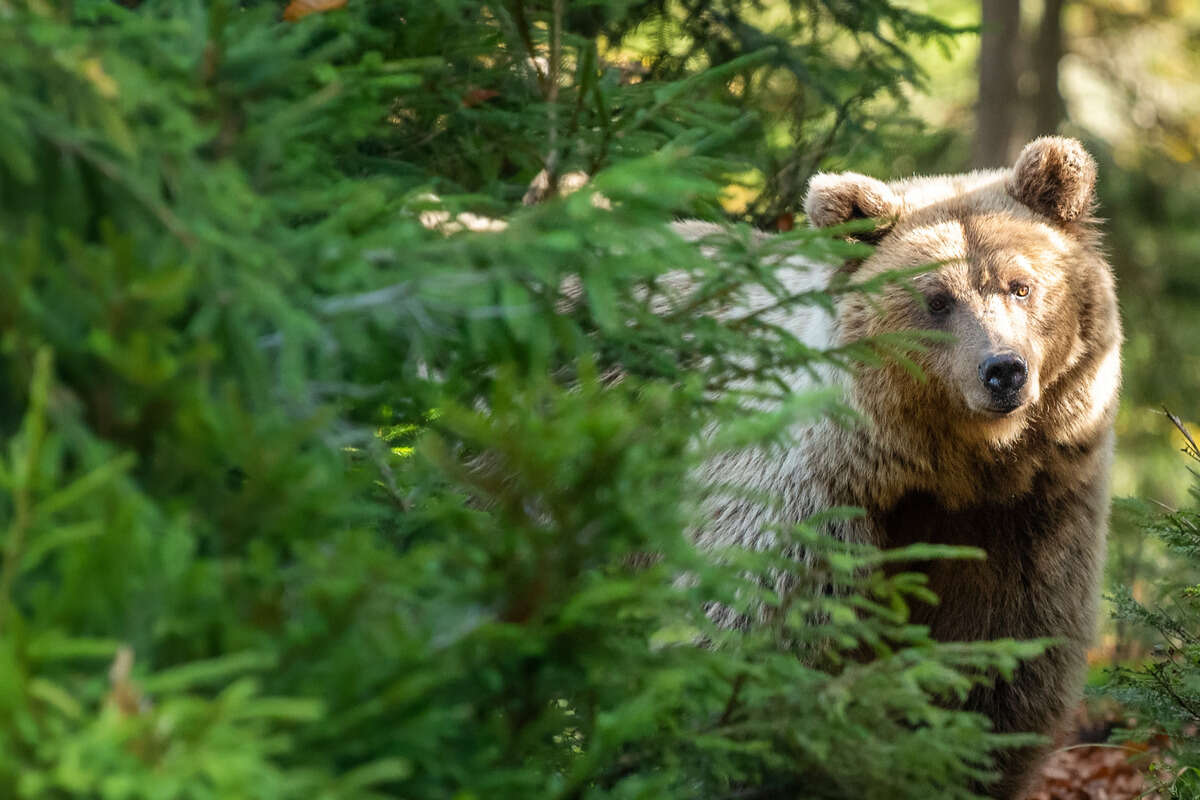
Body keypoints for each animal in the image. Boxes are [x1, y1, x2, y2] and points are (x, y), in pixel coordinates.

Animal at [686, 139, 1123, 800]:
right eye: (937, 299)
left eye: (1021, 285)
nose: (1003, 370)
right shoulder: (809, 506)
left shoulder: (1023, 519)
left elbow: (996, 668)